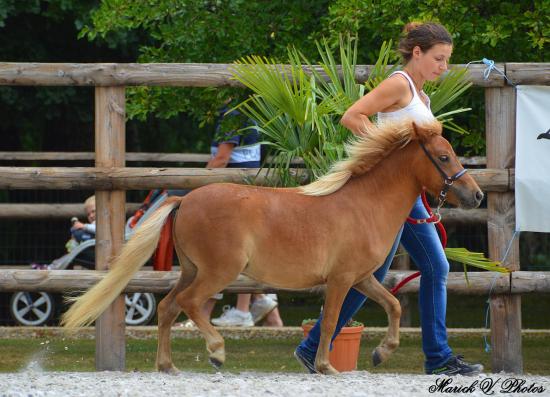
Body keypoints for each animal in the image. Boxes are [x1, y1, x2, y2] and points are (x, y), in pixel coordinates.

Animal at [61, 119, 484, 372]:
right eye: (444, 156)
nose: (476, 195)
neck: (365, 205)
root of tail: (185, 199)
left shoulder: (363, 278)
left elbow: (393, 306)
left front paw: (381, 353)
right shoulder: (341, 280)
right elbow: (331, 320)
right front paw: (326, 366)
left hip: (192, 270)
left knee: (167, 307)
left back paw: (168, 366)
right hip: (219, 272)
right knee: (188, 304)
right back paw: (216, 351)